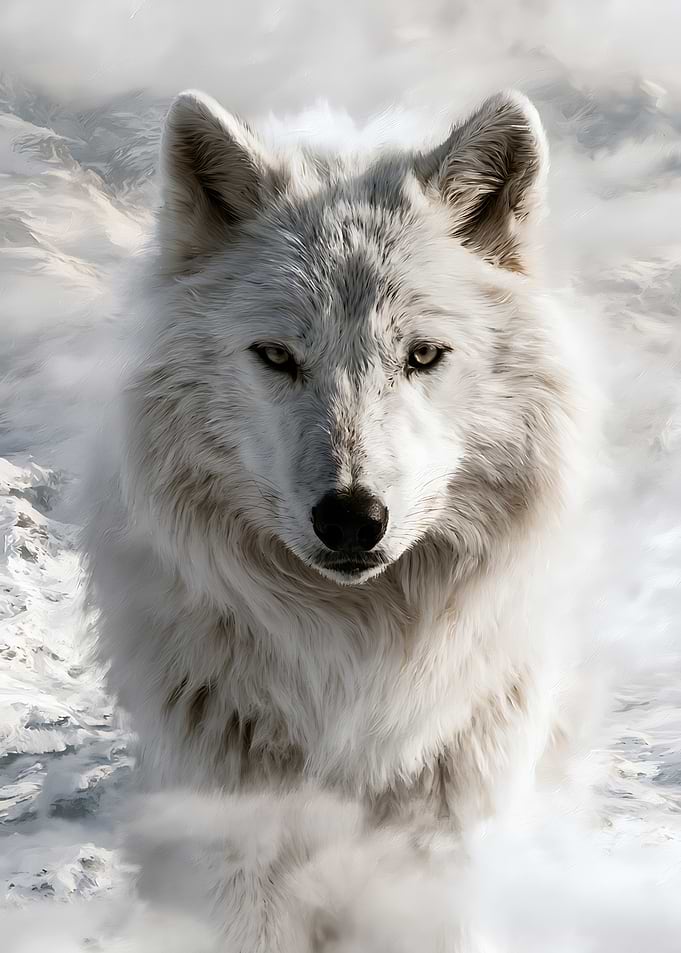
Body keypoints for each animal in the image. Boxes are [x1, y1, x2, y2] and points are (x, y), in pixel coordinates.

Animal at [84, 88, 593, 949]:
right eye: (277, 356)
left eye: (422, 355)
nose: (352, 518)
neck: (353, 672)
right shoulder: (234, 840)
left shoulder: (438, 843)